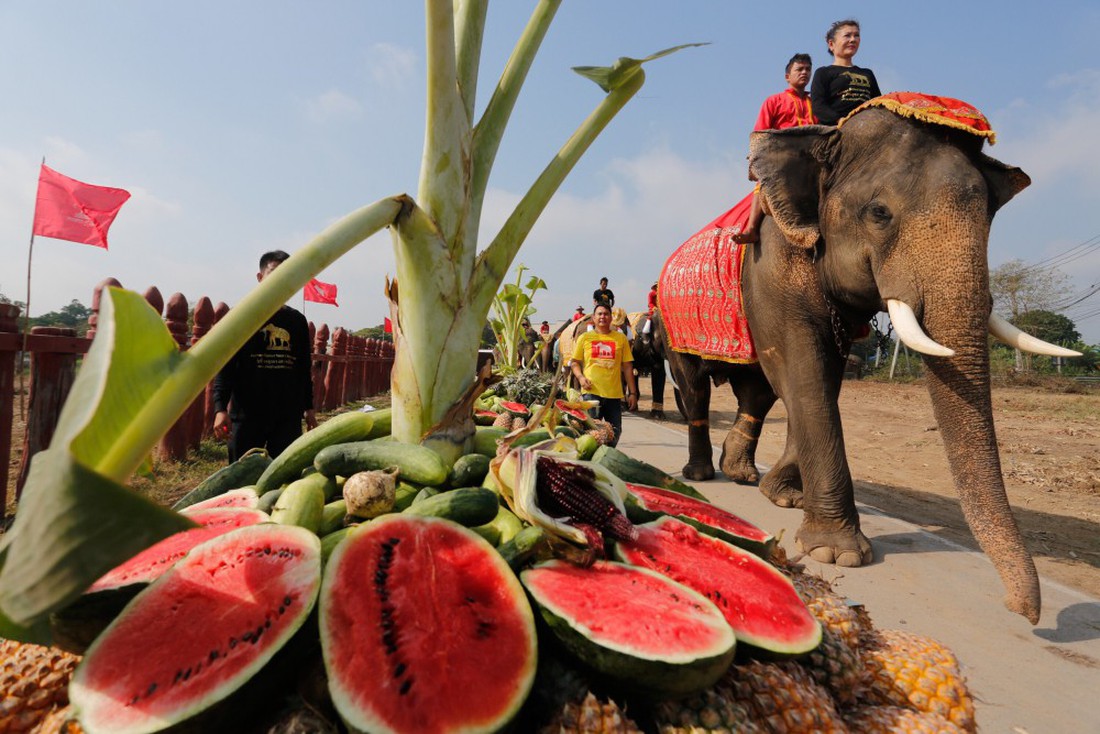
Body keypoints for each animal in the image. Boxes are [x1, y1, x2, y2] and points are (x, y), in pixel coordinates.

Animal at [660, 96, 1082, 625]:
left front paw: (786, 497)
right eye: (879, 213)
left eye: (989, 219)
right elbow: (802, 368)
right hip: (673, 325)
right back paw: (699, 475)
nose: (1021, 611)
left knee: (755, 391)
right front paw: (837, 552)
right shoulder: (771, 263)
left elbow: (823, 376)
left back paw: (742, 475)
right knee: (695, 387)